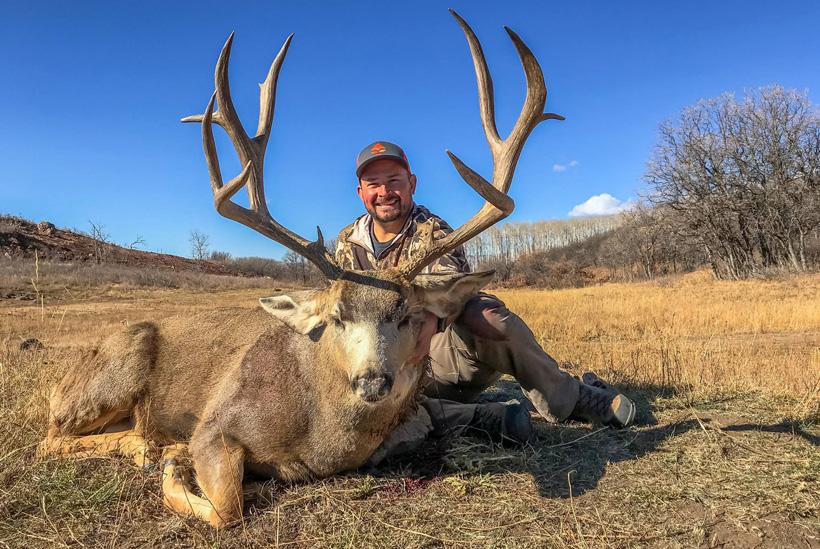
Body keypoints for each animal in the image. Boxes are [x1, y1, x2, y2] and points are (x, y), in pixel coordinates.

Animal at [37, 10, 562, 528]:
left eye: (408, 316)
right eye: (336, 318)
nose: (373, 381)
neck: (319, 433)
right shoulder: (214, 424)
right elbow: (227, 506)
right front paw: (173, 462)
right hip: (113, 370)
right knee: (52, 437)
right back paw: (147, 446)